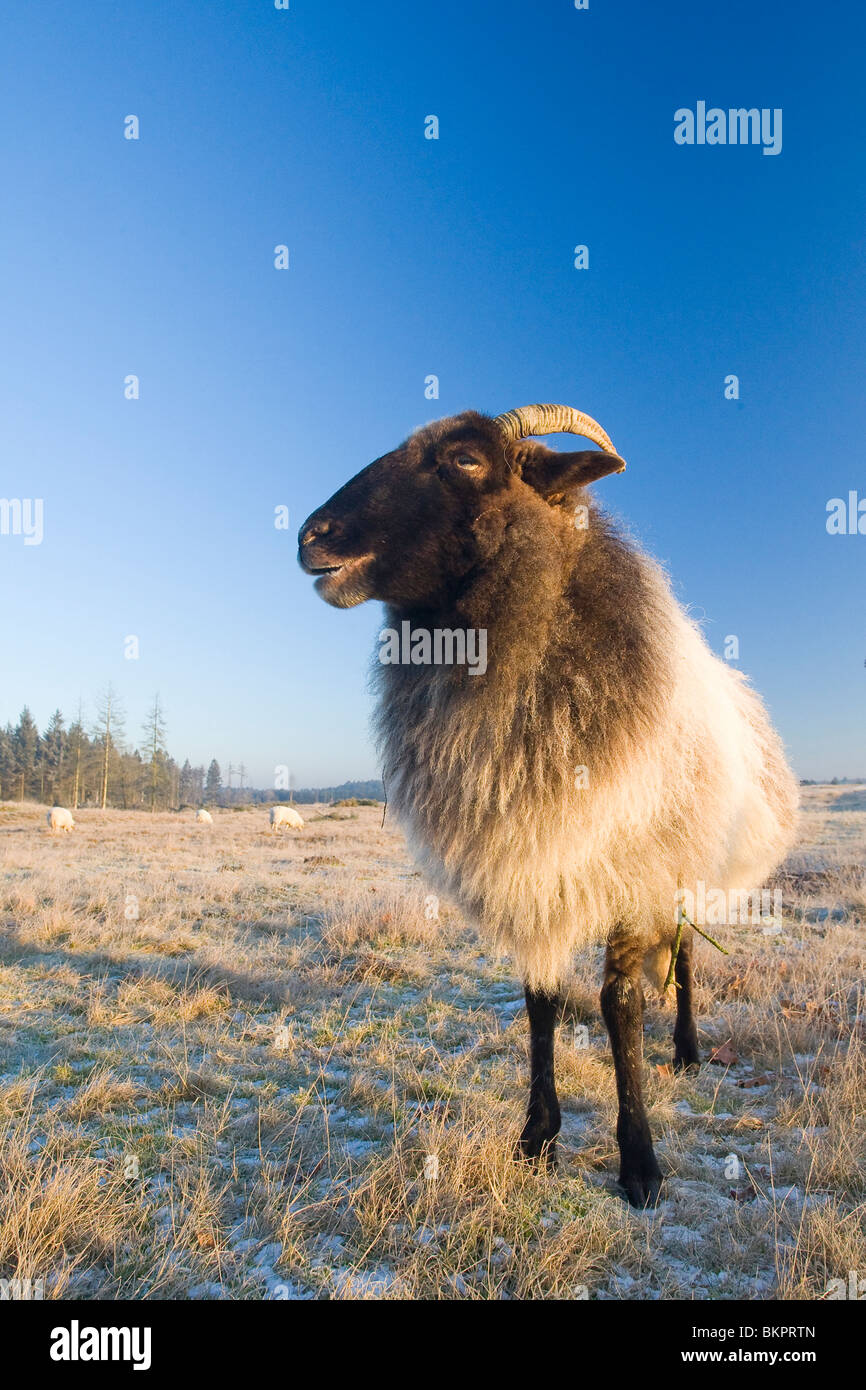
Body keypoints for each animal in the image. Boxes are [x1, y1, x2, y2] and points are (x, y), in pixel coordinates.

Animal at [300, 405, 800, 1206]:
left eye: (466, 460)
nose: (310, 537)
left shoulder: (635, 870)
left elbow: (619, 1006)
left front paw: (640, 1163)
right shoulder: (534, 864)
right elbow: (540, 1002)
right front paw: (537, 1138)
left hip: (686, 860)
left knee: (688, 956)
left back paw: (689, 1050)